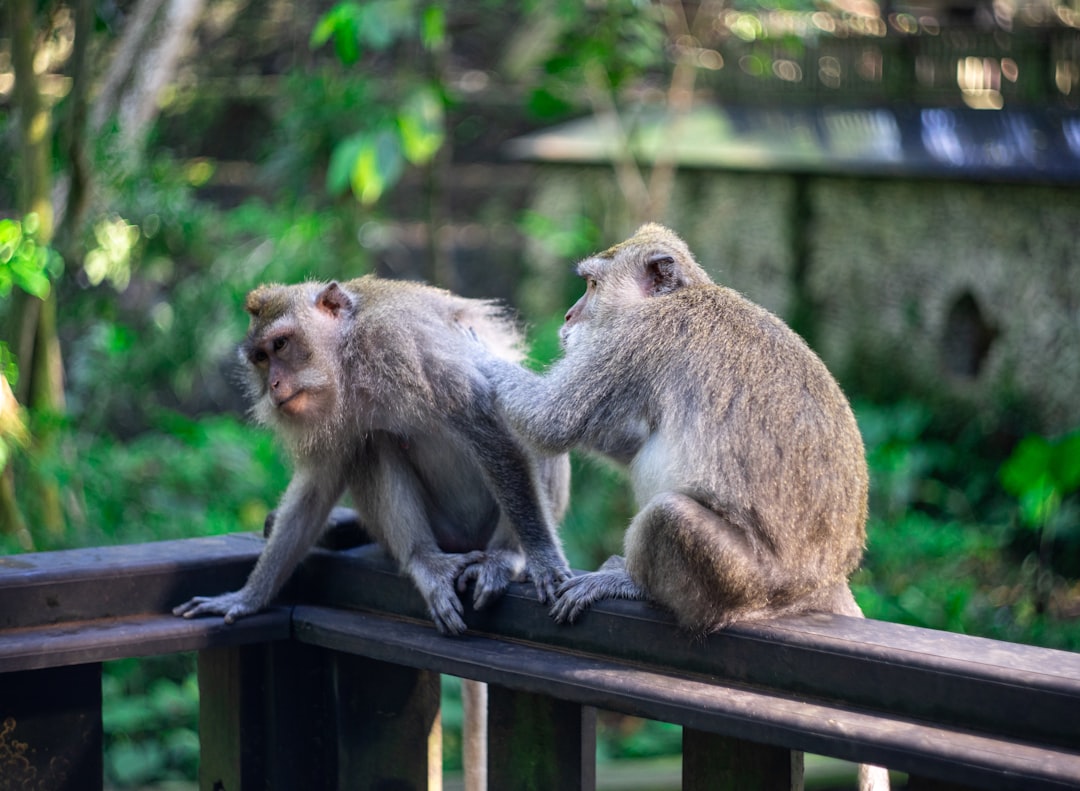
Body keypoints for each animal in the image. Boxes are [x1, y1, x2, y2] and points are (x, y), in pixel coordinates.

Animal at [173, 275, 571, 637]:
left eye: (281, 344)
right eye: (260, 358)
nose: (272, 385)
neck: (350, 357)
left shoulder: (400, 342)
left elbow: (490, 430)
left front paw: (543, 559)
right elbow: (314, 492)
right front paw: (247, 597)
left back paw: (506, 555)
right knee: (373, 441)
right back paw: (425, 561)